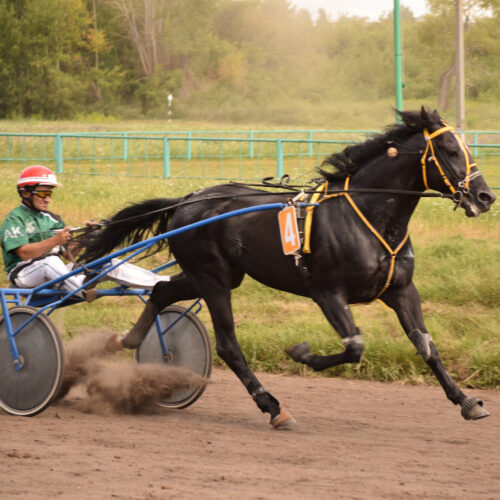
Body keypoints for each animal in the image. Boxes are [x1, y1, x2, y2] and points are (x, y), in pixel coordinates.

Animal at [79, 108, 496, 426]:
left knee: (162, 290)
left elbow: (426, 345)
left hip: (215, 275)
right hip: (213, 279)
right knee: (228, 345)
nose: (485, 196)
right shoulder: (327, 292)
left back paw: (128, 341)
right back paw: (272, 406)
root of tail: (186, 200)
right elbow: (354, 346)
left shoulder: (400, 290)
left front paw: (466, 401)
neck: (370, 216)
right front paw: (302, 353)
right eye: (449, 149)